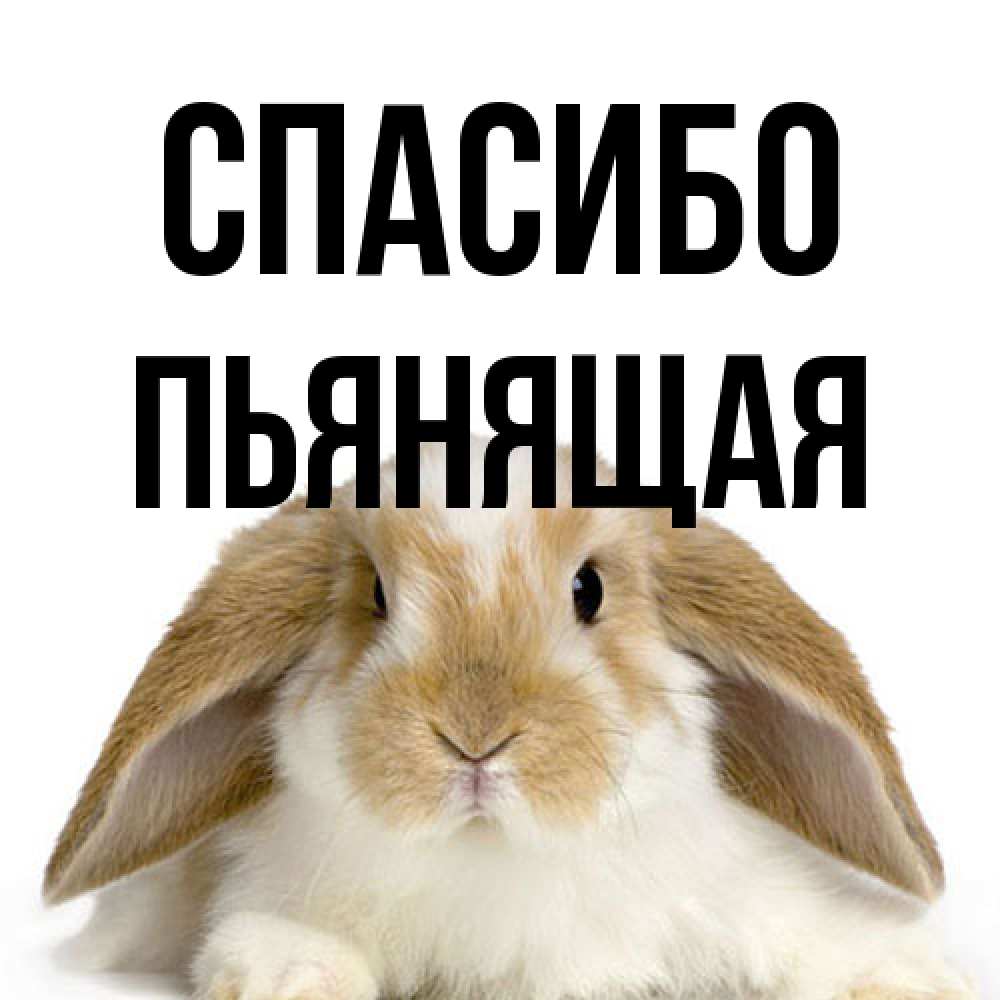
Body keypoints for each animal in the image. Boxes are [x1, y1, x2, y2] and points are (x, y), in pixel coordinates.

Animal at [45, 438, 975, 1000]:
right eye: (375, 596)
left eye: (589, 589)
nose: (475, 737)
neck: (495, 857)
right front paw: (290, 977)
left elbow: (818, 939)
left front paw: (909, 978)